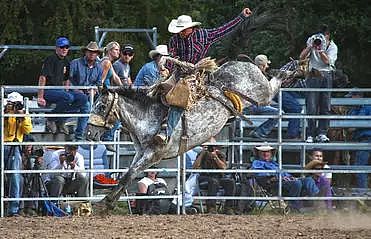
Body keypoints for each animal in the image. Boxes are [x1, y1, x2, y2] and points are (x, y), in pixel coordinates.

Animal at [86, 57, 288, 212]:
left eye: (101, 106)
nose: (90, 133)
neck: (148, 116)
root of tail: (244, 64)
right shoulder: (141, 153)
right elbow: (127, 174)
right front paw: (108, 202)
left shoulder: (153, 155)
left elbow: (129, 175)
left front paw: (104, 204)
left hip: (262, 93)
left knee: (274, 84)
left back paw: (290, 69)